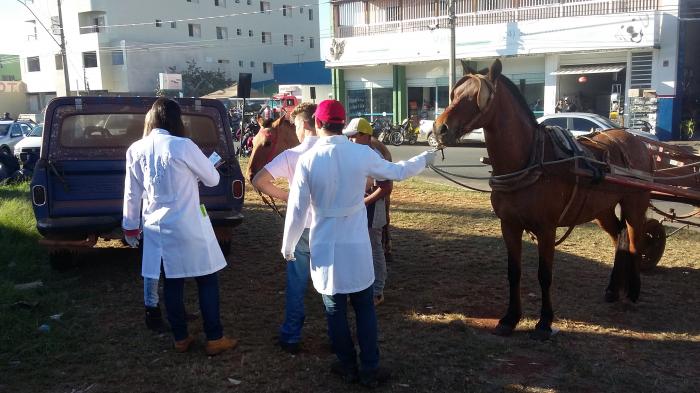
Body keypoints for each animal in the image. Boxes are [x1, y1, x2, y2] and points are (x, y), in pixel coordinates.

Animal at [434, 59, 652, 338]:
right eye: (454, 94)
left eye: (476, 97)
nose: (440, 128)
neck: (529, 159)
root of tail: (637, 140)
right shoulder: (509, 225)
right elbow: (513, 272)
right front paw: (510, 318)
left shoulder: (546, 229)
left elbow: (544, 275)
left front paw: (545, 322)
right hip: (601, 209)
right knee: (620, 237)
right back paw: (614, 289)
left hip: (635, 204)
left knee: (635, 241)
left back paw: (633, 291)